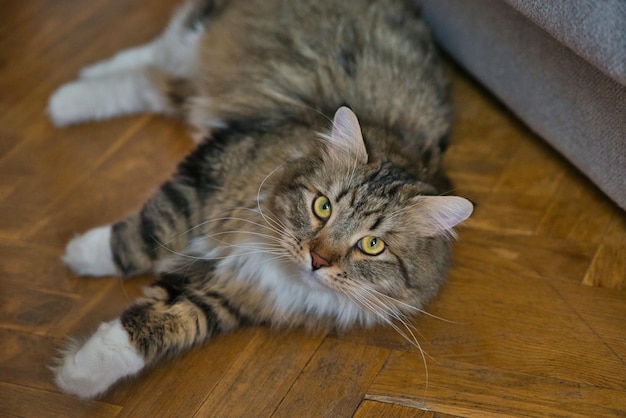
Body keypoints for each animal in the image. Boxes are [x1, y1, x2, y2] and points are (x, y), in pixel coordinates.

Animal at [46, 0, 470, 398]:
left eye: (372, 245)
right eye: (323, 207)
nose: (317, 260)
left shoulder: (230, 297)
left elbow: (151, 329)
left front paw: (79, 373)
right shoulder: (209, 170)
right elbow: (145, 233)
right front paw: (81, 254)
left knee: (152, 81)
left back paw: (70, 97)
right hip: (199, 37)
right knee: (157, 53)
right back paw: (69, 93)